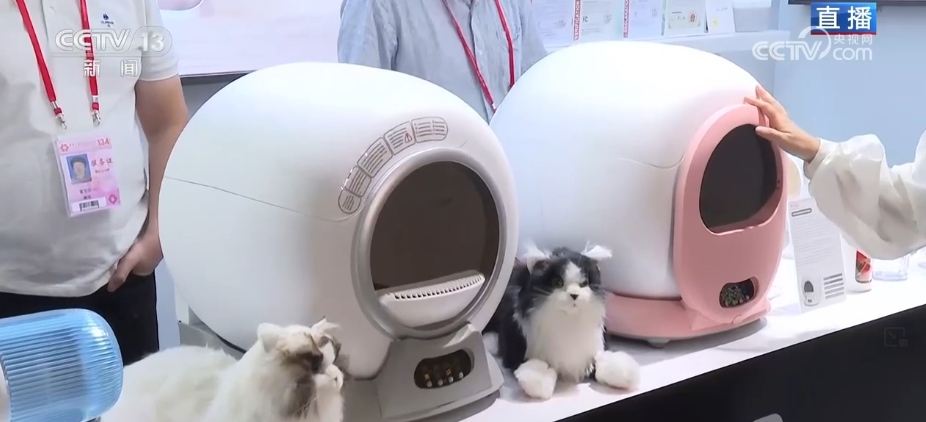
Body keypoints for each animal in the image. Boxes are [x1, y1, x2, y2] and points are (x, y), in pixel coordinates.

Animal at [487, 243, 640, 400]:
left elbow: (602, 362)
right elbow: (533, 368)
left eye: (584, 283)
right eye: (558, 283)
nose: (574, 295)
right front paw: (540, 384)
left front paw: (625, 375)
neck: (567, 320)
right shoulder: (515, 349)